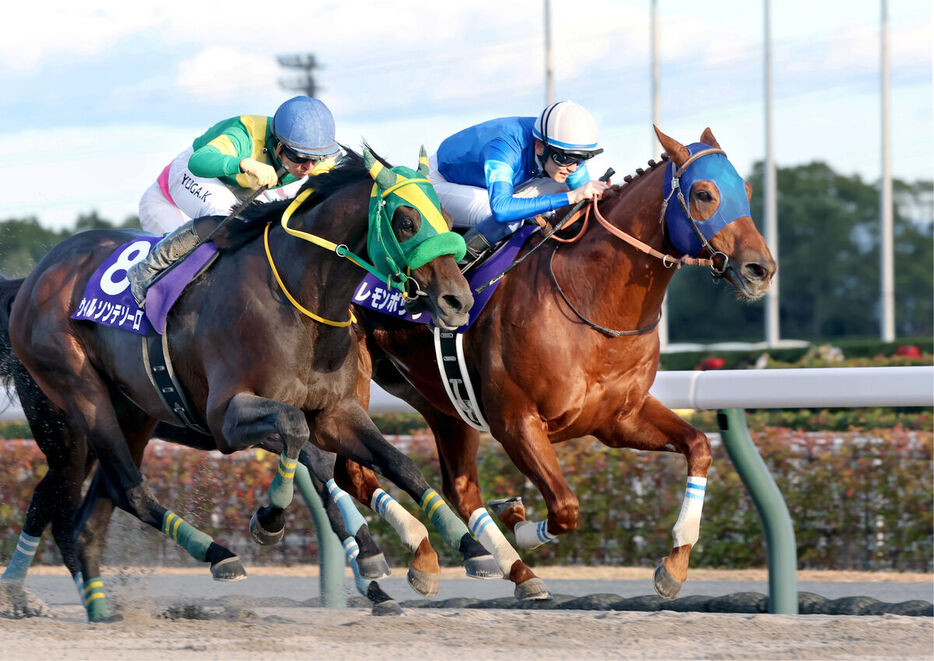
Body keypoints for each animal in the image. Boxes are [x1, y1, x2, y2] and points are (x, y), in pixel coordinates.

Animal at [3, 148, 508, 620]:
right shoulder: (227, 419)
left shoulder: (336, 412)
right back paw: (215, 555)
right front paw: (277, 522)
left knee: (89, 515)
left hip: (133, 416)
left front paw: (466, 548)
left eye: (448, 218)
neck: (300, 300)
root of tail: (34, 276)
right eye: (405, 220)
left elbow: (399, 464)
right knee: (120, 490)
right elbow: (302, 443)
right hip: (77, 404)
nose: (458, 301)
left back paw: (100, 610)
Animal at [348, 127, 780, 600]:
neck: (591, 302)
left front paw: (675, 565)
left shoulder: (619, 418)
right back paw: (395, 558)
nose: (760, 269)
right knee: (353, 471)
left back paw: (505, 567)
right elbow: (566, 508)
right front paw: (517, 520)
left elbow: (699, 447)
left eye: (747, 189)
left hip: (438, 398)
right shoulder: (515, 421)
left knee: (458, 487)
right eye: (704, 193)